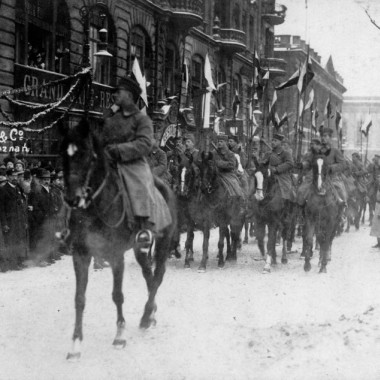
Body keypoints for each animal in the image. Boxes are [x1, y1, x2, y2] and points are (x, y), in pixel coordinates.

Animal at [59, 118, 177, 360]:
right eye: (63, 154)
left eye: (88, 156)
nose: (72, 198)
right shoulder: (80, 255)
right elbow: (79, 298)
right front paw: (75, 344)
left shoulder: (116, 256)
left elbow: (117, 295)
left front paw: (120, 335)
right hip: (140, 248)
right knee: (148, 274)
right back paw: (151, 313)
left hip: (163, 242)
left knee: (158, 276)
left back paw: (145, 317)